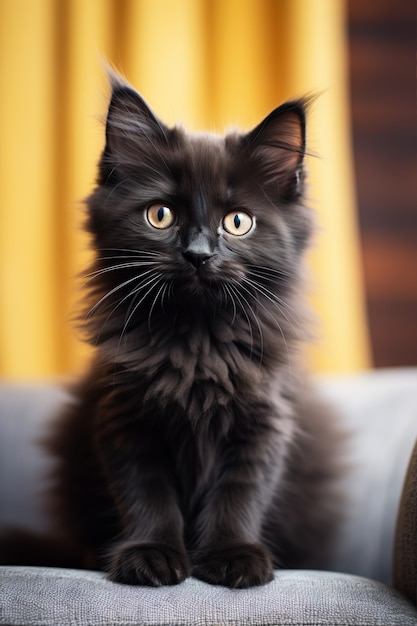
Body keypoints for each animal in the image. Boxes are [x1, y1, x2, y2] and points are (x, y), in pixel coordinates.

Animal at [47, 74, 342, 584]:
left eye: (238, 222)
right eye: (160, 214)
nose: (198, 255)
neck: (197, 343)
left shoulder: (264, 421)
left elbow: (239, 494)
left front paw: (232, 556)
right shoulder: (125, 419)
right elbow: (146, 495)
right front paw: (150, 555)